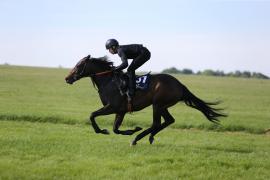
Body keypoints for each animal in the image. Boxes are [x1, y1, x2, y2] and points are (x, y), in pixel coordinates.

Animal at [65, 54, 226, 145]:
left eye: (79, 65)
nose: (67, 78)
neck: (109, 81)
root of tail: (180, 85)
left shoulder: (112, 107)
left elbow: (92, 115)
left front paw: (103, 131)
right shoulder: (121, 111)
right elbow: (115, 129)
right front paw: (131, 130)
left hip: (157, 104)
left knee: (157, 123)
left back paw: (137, 138)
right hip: (162, 106)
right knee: (168, 121)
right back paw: (149, 137)